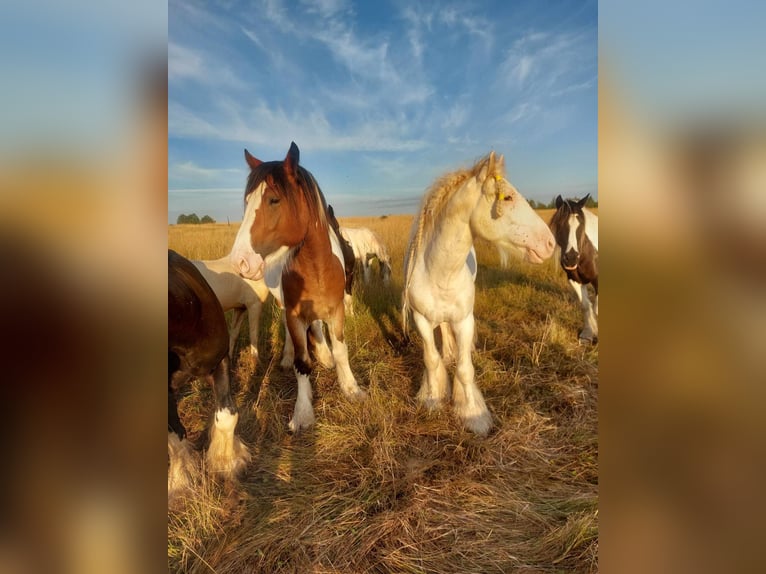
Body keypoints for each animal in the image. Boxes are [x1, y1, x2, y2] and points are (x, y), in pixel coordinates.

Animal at [228, 143, 366, 432]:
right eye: (247, 202)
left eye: (274, 200)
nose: (240, 261)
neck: (318, 267)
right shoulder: (294, 313)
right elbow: (302, 363)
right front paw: (303, 413)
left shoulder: (337, 309)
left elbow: (341, 349)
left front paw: (351, 388)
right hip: (284, 307)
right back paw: (287, 356)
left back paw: (324, 354)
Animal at [402, 152, 560, 436]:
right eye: (507, 197)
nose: (550, 243)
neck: (438, 272)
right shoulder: (421, 320)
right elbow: (431, 360)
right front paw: (432, 399)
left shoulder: (464, 321)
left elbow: (465, 370)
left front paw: (473, 415)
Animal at [552, 196, 600, 344]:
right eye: (560, 224)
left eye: (581, 226)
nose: (571, 258)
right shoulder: (575, 280)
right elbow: (585, 305)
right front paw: (588, 334)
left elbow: (596, 308)